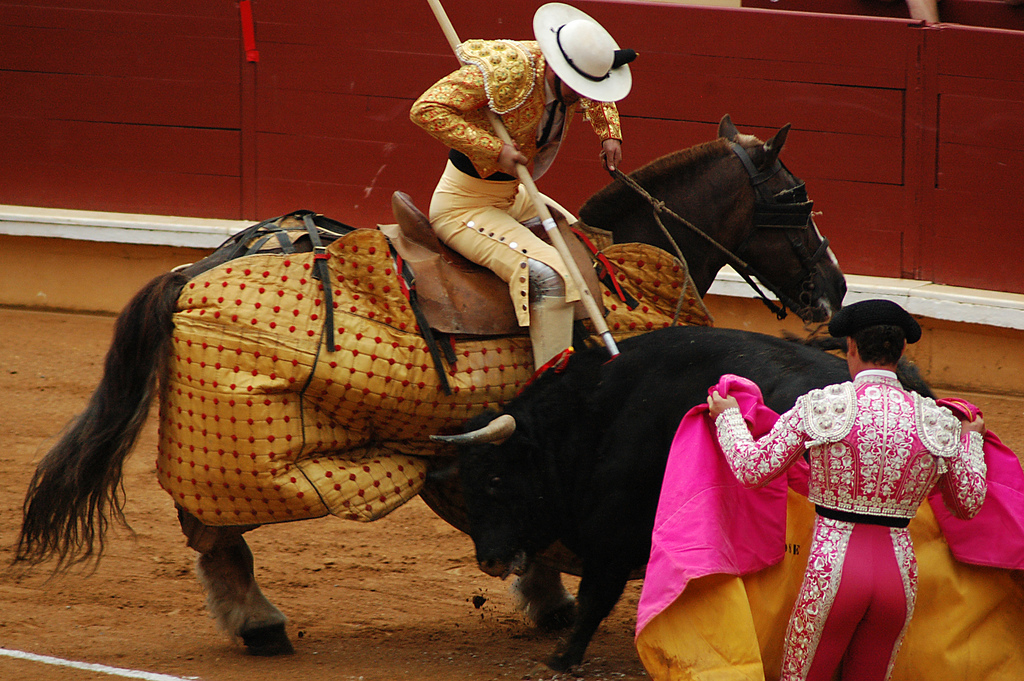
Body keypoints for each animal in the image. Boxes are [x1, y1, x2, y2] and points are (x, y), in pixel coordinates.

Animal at [18, 115, 847, 655]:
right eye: (797, 203)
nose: (835, 290)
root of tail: (190, 270)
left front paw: (542, 593)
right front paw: (554, 596)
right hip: (232, 438)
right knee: (216, 532)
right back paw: (260, 623)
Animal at [438, 323, 929, 667]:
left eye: (495, 479)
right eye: (467, 479)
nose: (490, 559)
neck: (596, 415)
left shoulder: (613, 530)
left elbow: (596, 594)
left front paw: (563, 657)